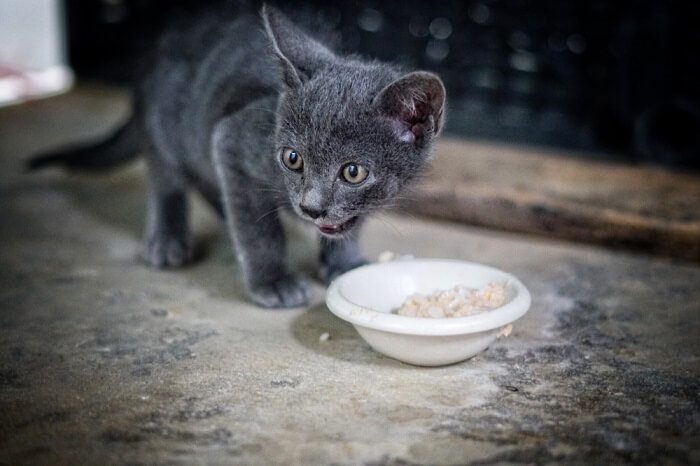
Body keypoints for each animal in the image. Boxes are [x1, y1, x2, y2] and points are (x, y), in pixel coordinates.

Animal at [27, 5, 446, 310]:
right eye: (292, 159)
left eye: (353, 172)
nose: (310, 208)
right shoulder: (231, 139)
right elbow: (260, 230)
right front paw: (273, 282)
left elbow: (347, 223)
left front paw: (342, 262)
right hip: (167, 124)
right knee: (167, 178)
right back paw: (168, 237)